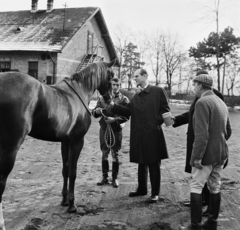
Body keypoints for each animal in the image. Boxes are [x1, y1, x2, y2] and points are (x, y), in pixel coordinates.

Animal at [0, 60, 115, 229]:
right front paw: (72, 205)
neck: (79, 91)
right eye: (112, 75)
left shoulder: (65, 142)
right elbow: (73, 172)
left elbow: (65, 170)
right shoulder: (77, 141)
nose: (110, 100)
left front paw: (64, 200)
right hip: (9, 149)